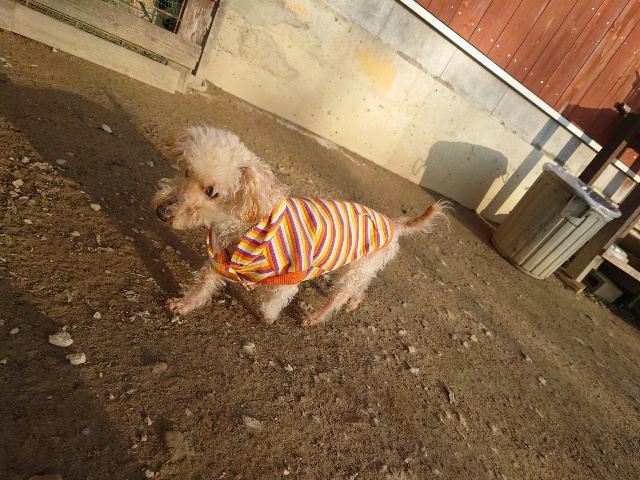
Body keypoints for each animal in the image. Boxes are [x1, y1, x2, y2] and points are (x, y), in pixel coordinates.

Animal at [153, 126, 448, 326]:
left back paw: (317, 316)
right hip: (365, 266)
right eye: (187, 171)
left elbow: (271, 301)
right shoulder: (220, 260)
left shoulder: (290, 276)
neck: (242, 226)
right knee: (361, 286)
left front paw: (267, 318)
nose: (161, 212)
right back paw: (354, 302)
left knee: (339, 295)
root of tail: (394, 224)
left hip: (355, 269)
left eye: (212, 192)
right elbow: (203, 285)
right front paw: (184, 304)